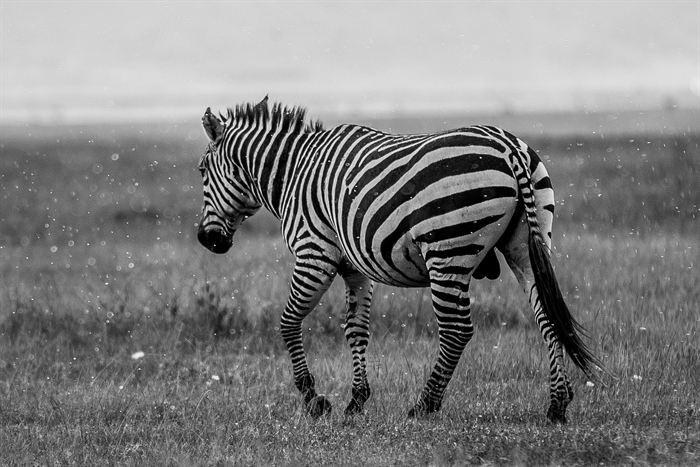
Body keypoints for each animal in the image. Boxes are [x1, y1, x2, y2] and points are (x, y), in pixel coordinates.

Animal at [196, 97, 603, 423]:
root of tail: (508, 147)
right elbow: (356, 330)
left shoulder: (315, 254)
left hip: (447, 249)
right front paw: (356, 401)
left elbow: (287, 322)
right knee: (547, 317)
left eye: (201, 171)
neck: (293, 173)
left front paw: (314, 399)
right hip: (528, 245)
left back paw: (424, 405)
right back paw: (557, 403)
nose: (206, 240)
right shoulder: (354, 268)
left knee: (457, 330)